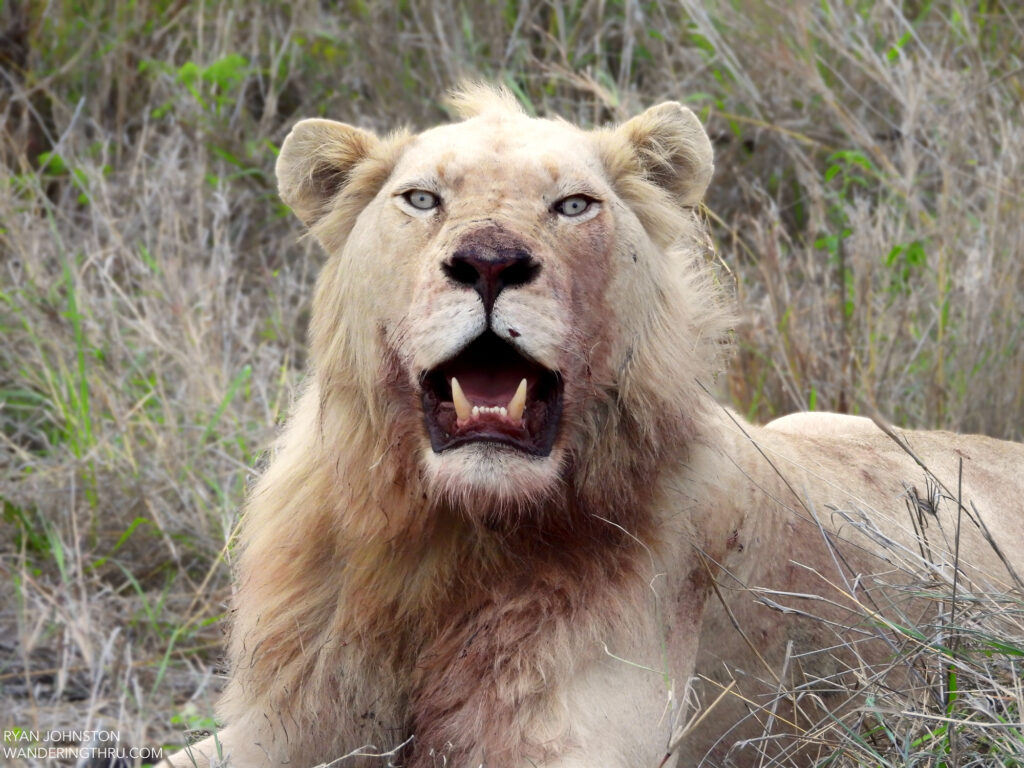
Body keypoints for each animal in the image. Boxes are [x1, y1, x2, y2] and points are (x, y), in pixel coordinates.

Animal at [167, 85, 1024, 768]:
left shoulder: (583, 738)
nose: (489, 260)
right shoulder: (284, 721)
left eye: (573, 205)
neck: (447, 537)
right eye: (422, 200)